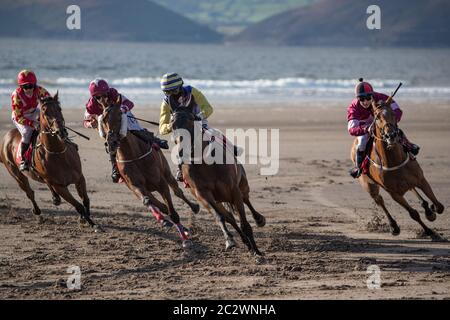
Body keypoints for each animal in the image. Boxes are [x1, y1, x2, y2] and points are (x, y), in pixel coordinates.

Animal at [0, 92, 99, 230]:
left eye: (59, 109)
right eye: (45, 112)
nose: (61, 131)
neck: (59, 154)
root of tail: (6, 137)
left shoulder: (79, 178)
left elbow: (85, 200)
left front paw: (85, 219)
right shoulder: (59, 186)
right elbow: (78, 206)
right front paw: (92, 223)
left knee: (44, 183)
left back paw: (55, 198)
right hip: (17, 175)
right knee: (29, 192)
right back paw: (37, 211)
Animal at [99, 102, 200, 248]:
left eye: (119, 116)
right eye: (103, 119)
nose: (111, 142)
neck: (133, 155)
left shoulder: (161, 183)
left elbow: (172, 210)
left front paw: (185, 239)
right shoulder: (135, 185)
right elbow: (147, 200)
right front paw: (166, 222)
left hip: (167, 173)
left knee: (177, 192)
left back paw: (193, 208)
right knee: (157, 203)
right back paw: (167, 220)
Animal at [171, 110, 266, 258]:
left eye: (190, 122)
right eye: (172, 126)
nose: (181, 152)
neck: (205, 164)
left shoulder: (234, 190)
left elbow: (244, 222)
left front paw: (257, 252)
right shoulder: (203, 194)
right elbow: (220, 217)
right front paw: (230, 240)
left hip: (242, 184)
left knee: (246, 199)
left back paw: (258, 220)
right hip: (216, 199)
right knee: (229, 217)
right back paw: (244, 241)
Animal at [352, 97, 446, 240]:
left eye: (393, 113)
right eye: (377, 117)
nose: (391, 136)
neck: (393, 161)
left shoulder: (421, 179)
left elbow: (439, 206)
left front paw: (431, 211)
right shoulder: (394, 193)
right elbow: (413, 214)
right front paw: (429, 231)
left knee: (412, 189)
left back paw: (426, 207)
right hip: (369, 185)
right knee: (379, 200)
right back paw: (393, 226)